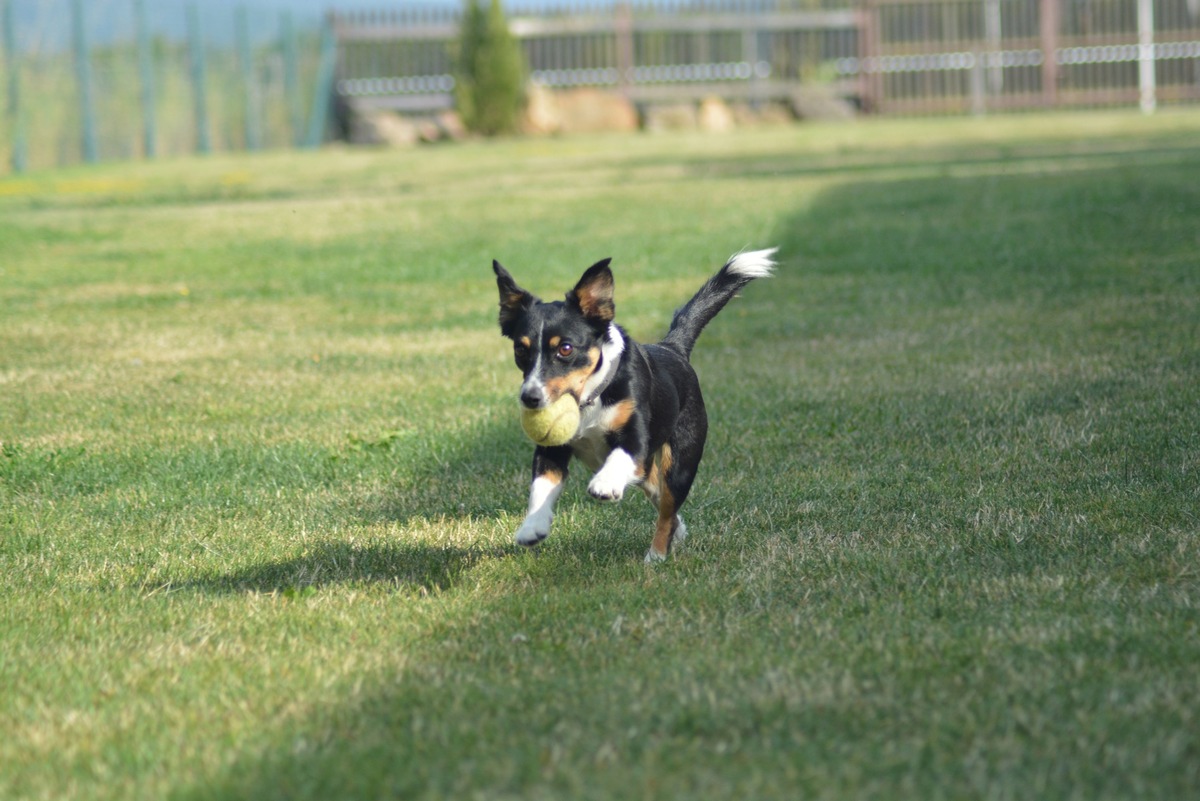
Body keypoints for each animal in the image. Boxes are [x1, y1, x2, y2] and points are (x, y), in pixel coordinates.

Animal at [489, 250, 777, 563]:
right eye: (521, 349)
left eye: (565, 349)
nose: (530, 398)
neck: (590, 400)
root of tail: (672, 348)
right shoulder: (552, 448)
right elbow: (541, 486)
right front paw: (533, 527)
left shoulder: (636, 437)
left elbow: (620, 456)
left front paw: (605, 483)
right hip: (649, 471)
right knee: (656, 493)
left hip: (682, 461)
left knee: (667, 507)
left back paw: (657, 554)